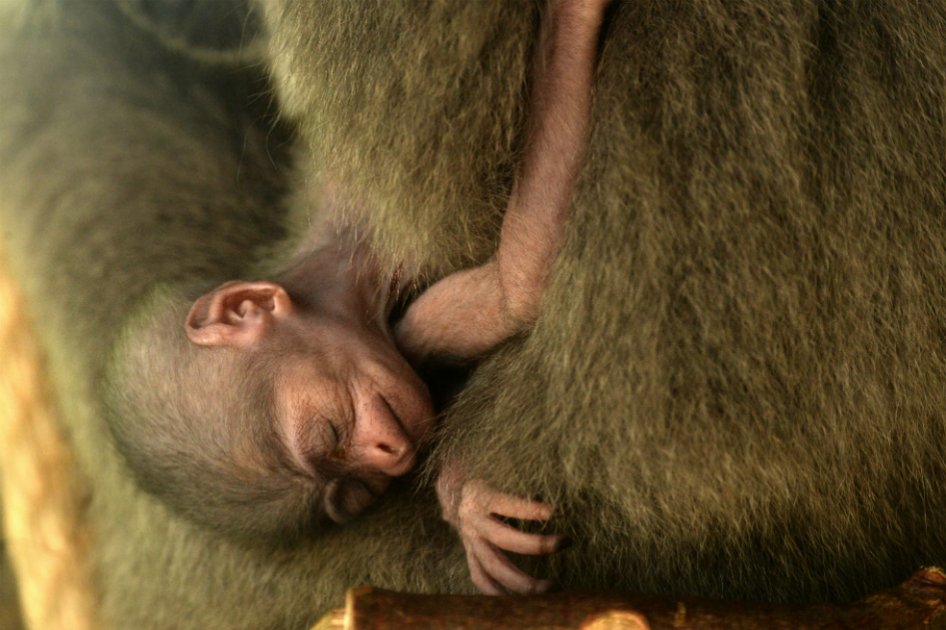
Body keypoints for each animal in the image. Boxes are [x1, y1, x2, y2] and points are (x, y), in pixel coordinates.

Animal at [2, 0, 946, 628]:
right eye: (346, 486)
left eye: (330, 433)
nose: (388, 455)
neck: (322, 282)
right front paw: (461, 502)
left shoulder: (398, 302)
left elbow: (514, 284)